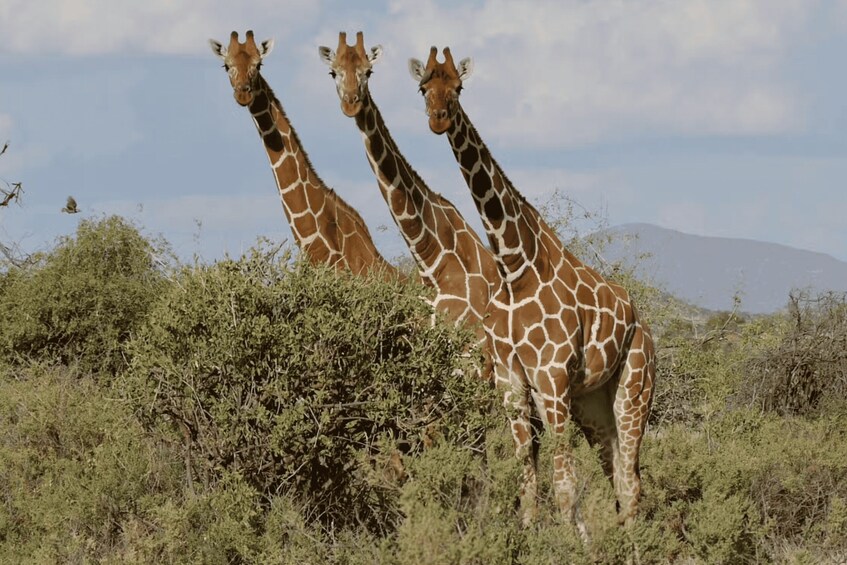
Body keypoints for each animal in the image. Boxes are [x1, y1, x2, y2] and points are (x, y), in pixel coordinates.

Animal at [409, 47, 656, 530]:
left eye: (459, 87)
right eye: (424, 87)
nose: (438, 119)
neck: (514, 266)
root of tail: (647, 329)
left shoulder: (552, 375)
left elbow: (563, 485)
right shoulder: (512, 379)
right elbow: (527, 483)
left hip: (634, 388)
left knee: (633, 479)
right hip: (593, 402)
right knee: (619, 475)